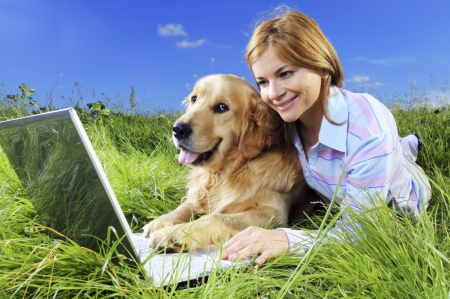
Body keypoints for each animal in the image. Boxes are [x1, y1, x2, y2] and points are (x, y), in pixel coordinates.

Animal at [144, 74, 316, 252]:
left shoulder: (272, 213)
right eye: (194, 98)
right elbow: (185, 206)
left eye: (222, 107)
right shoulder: (200, 195)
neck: (229, 170)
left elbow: (216, 217)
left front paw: (170, 235)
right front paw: (161, 222)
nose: (178, 129)